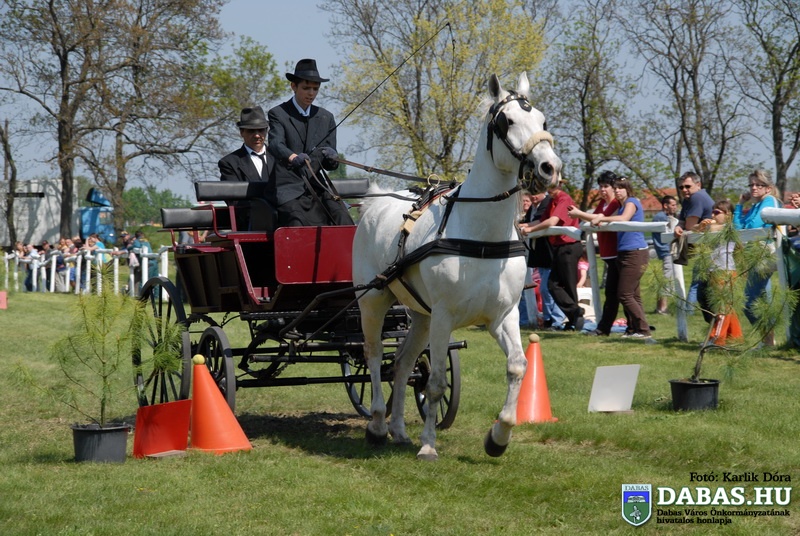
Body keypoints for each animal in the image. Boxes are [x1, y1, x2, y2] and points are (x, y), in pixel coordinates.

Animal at [352, 72, 562, 460]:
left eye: (542, 121)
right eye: (506, 122)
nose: (549, 168)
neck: (481, 237)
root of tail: (374, 201)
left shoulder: (503, 315)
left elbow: (518, 366)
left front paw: (498, 437)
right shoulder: (445, 316)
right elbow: (435, 382)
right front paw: (428, 446)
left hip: (421, 316)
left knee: (402, 364)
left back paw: (398, 430)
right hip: (374, 302)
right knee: (373, 358)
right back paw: (377, 425)